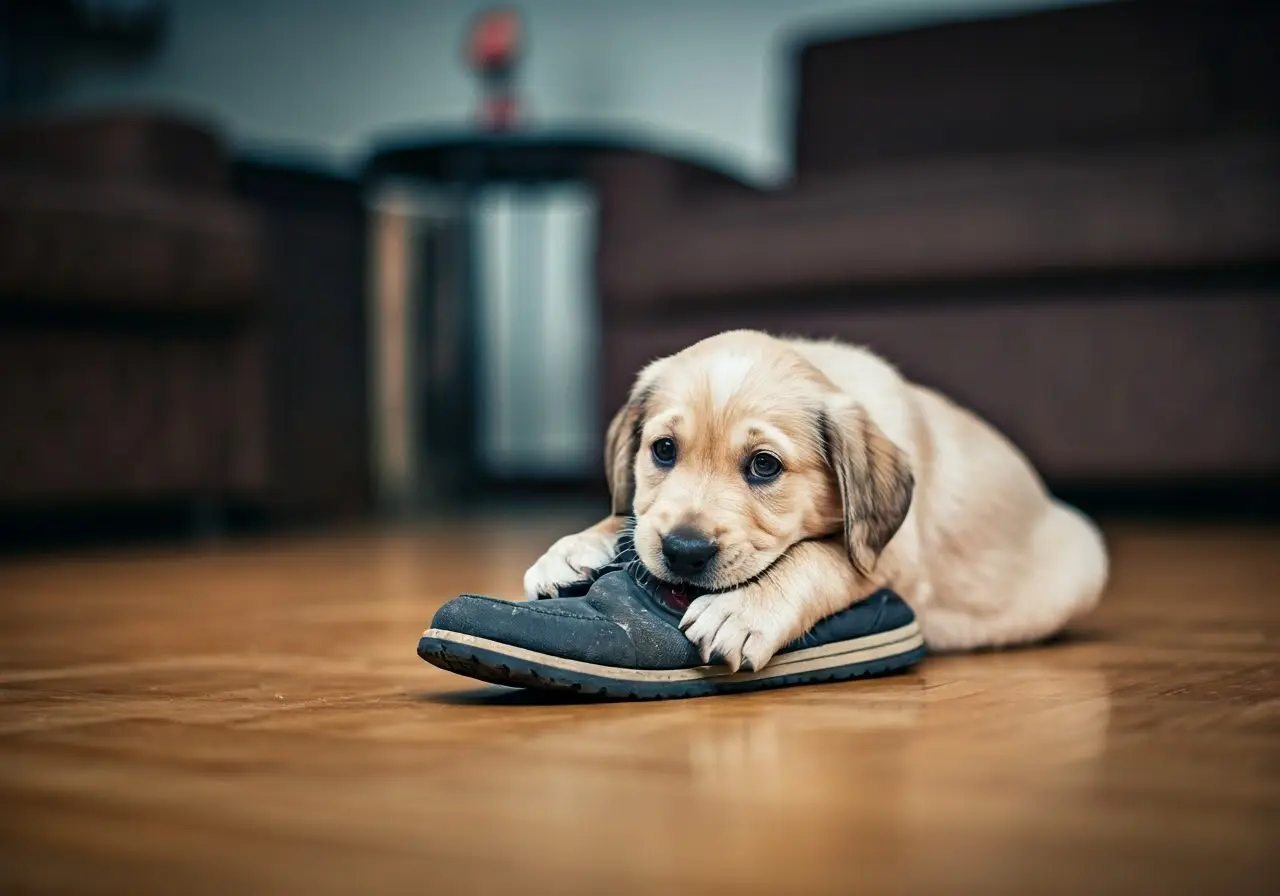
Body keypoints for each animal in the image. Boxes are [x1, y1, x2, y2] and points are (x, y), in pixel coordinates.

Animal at [524, 330, 1105, 670]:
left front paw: (741, 610)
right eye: (663, 451)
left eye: (764, 465)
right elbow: (632, 518)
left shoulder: (890, 555)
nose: (684, 552)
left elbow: (817, 558)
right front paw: (573, 549)